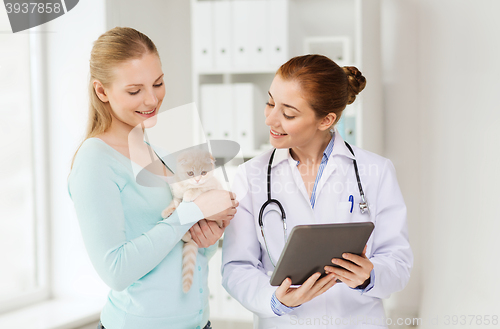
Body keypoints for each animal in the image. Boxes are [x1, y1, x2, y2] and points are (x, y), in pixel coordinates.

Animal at [161, 149, 222, 292]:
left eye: (204, 173)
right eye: (190, 173)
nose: (197, 180)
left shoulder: (212, 187)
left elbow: (197, 189)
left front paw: (189, 194)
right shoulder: (177, 193)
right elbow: (175, 202)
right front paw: (167, 211)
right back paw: (186, 235)